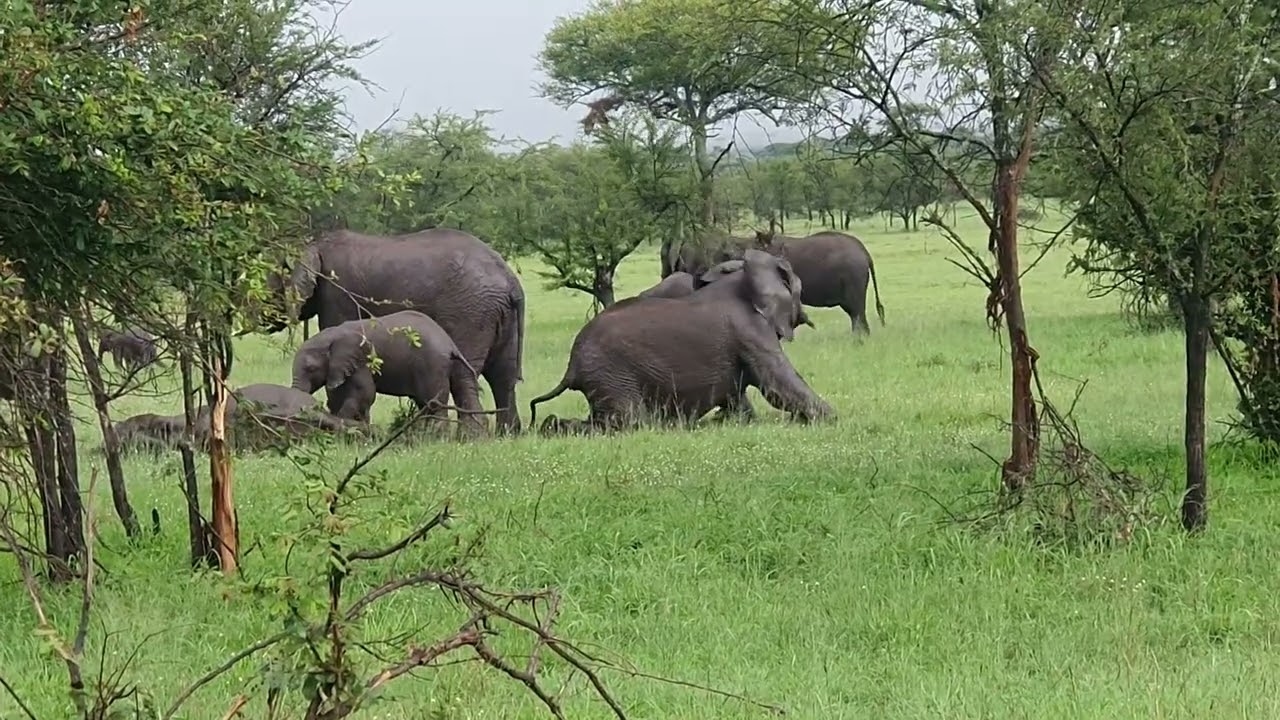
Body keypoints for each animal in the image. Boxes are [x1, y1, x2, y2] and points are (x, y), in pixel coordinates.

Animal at [290, 310, 485, 438]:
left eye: (311, 369)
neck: (331, 336)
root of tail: (450, 344)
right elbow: (339, 395)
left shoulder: (363, 359)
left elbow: (365, 393)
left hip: (432, 365)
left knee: (433, 404)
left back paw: (434, 439)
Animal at [529, 249, 834, 434]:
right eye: (799, 288)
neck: (744, 276)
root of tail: (571, 366)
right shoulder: (751, 333)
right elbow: (777, 386)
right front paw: (831, 418)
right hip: (612, 375)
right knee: (628, 422)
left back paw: (550, 426)